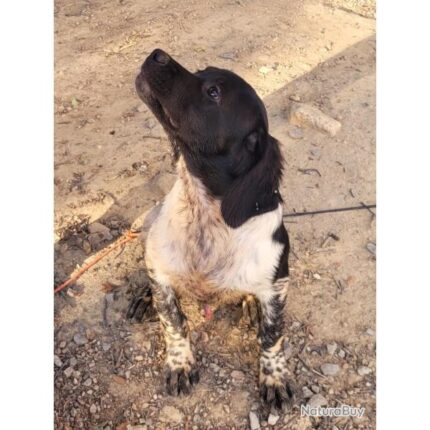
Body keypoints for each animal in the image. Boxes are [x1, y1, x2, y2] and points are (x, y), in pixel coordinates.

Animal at [131, 49, 293, 410]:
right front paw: (179, 362)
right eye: (202, 70)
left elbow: (272, 336)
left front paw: (274, 375)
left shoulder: (277, 286)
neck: (205, 214)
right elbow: (174, 323)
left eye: (213, 92)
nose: (156, 54)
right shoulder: (161, 273)